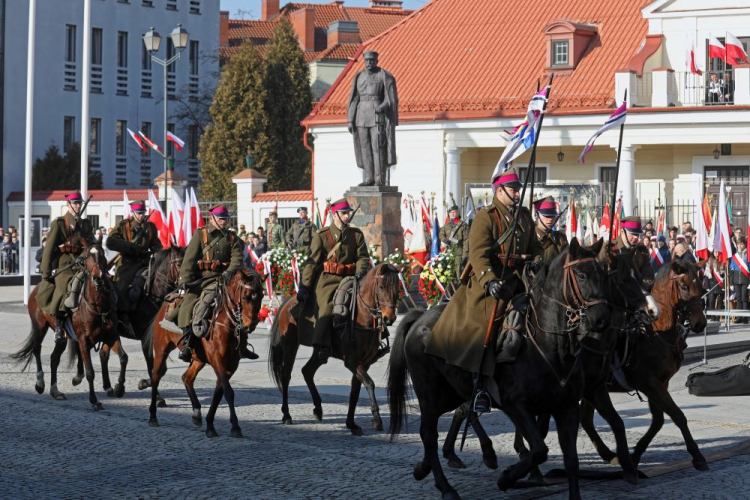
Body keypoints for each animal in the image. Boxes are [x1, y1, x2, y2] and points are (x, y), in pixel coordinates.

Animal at [12, 242, 119, 410]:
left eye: (102, 254)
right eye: (87, 256)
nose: (98, 276)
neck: (98, 305)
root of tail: (37, 288)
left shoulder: (111, 336)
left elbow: (122, 358)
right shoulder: (83, 339)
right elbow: (90, 371)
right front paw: (94, 400)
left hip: (62, 336)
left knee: (54, 358)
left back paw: (55, 391)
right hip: (39, 327)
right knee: (36, 349)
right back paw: (40, 383)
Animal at [146, 270, 264, 438]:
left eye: (261, 296)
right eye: (246, 296)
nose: (251, 325)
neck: (226, 323)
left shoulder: (231, 365)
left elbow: (218, 393)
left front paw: (210, 425)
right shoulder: (217, 361)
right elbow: (228, 392)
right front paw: (235, 426)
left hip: (198, 359)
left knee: (187, 378)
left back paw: (196, 413)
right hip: (162, 349)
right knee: (155, 376)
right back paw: (153, 415)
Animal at [268, 264, 402, 436]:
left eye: (397, 288)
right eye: (382, 286)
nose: (389, 318)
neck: (361, 316)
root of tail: (287, 303)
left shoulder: (364, 363)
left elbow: (355, 391)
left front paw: (351, 424)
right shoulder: (352, 361)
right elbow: (369, 383)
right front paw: (376, 419)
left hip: (320, 352)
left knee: (307, 371)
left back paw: (318, 408)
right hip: (290, 346)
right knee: (286, 377)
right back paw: (286, 415)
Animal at [390, 239, 612, 500]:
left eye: (603, 274)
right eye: (581, 275)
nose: (602, 319)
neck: (549, 346)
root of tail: (419, 319)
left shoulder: (567, 408)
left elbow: (571, 462)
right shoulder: (516, 405)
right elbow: (539, 450)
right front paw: (507, 478)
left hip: (451, 392)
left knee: (445, 422)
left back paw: (427, 467)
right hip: (430, 393)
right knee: (429, 433)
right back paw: (446, 486)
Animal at [588, 260, 712, 470]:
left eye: (701, 286)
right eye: (684, 286)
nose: (700, 323)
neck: (656, 333)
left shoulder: (661, 383)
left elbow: (659, 420)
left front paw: (636, 454)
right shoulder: (649, 383)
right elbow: (677, 415)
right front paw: (697, 455)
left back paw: (608, 455)